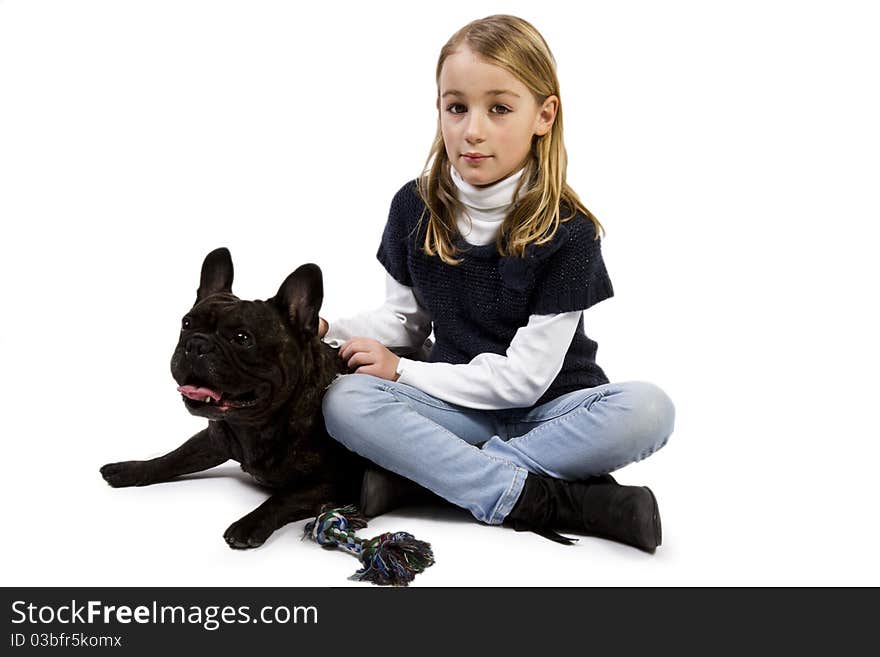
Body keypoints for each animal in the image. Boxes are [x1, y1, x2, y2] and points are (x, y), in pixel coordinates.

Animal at [101, 247, 362, 548]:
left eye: (242, 338)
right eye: (186, 323)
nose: (196, 344)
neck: (254, 425)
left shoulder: (331, 483)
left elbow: (284, 498)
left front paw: (250, 524)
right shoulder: (212, 439)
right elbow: (173, 457)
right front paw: (130, 469)